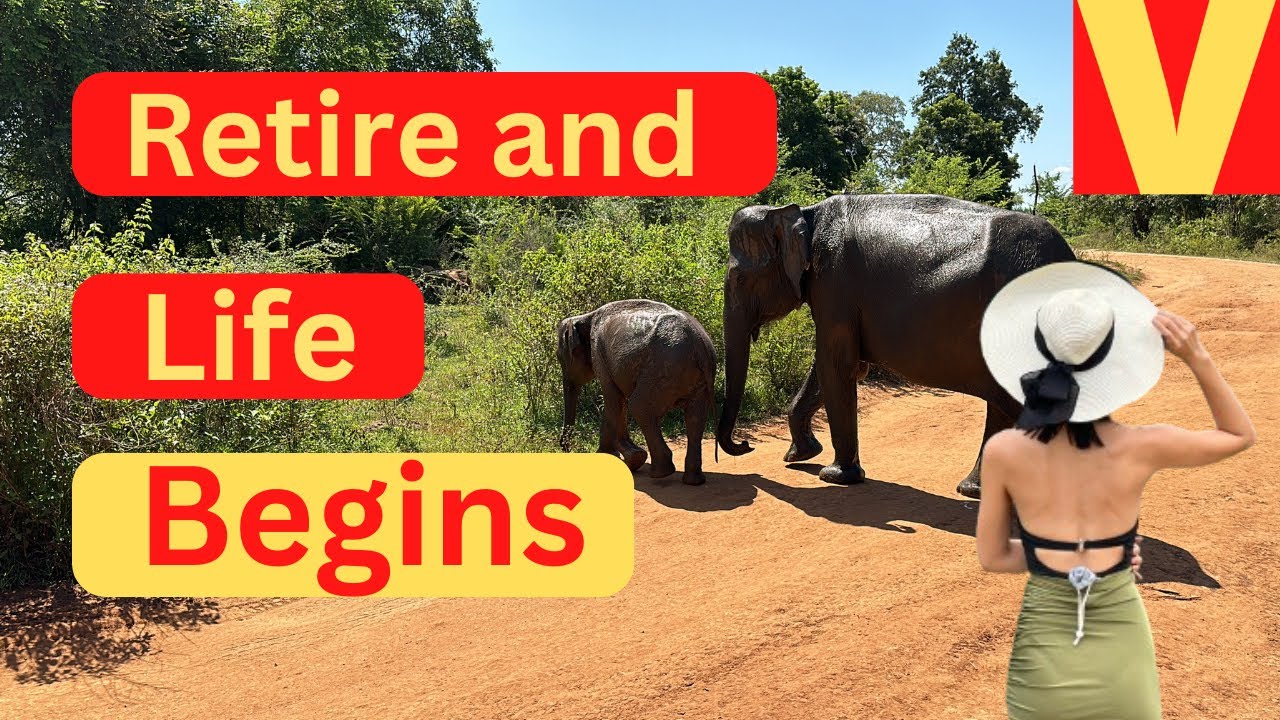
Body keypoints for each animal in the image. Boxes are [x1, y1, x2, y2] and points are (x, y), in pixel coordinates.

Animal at [557, 299, 717, 485]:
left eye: (559, 357)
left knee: (639, 406)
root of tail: (700, 345)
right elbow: (619, 401)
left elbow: (613, 399)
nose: (566, 449)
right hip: (695, 379)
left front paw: (613, 457)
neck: (585, 316)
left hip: (661, 372)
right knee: (695, 417)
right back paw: (693, 481)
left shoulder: (598, 353)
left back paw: (661, 473)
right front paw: (631, 458)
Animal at [715, 194, 1075, 498]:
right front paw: (800, 455)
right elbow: (837, 367)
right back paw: (975, 491)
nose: (745, 445)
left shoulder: (834, 284)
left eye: (740, 279)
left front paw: (835, 476)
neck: (804, 213)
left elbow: (837, 365)